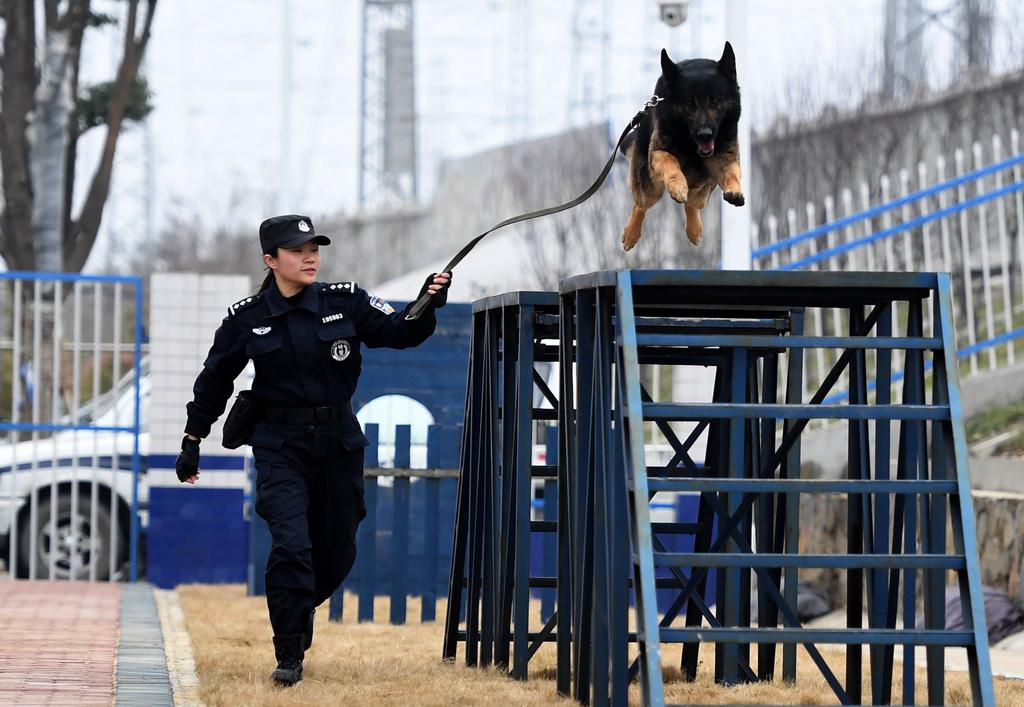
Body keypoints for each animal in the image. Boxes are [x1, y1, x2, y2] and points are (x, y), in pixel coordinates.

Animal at [622, 42, 745, 251]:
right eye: (689, 103)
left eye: (715, 100)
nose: (705, 134)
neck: (691, 145)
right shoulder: (657, 153)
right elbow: (670, 159)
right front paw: (677, 185)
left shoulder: (724, 156)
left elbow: (732, 172)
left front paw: (735, 190)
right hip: (649, 188)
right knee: (641, 204)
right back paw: (631, 233)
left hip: (705, 189)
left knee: (693, 204)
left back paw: (694, 229)